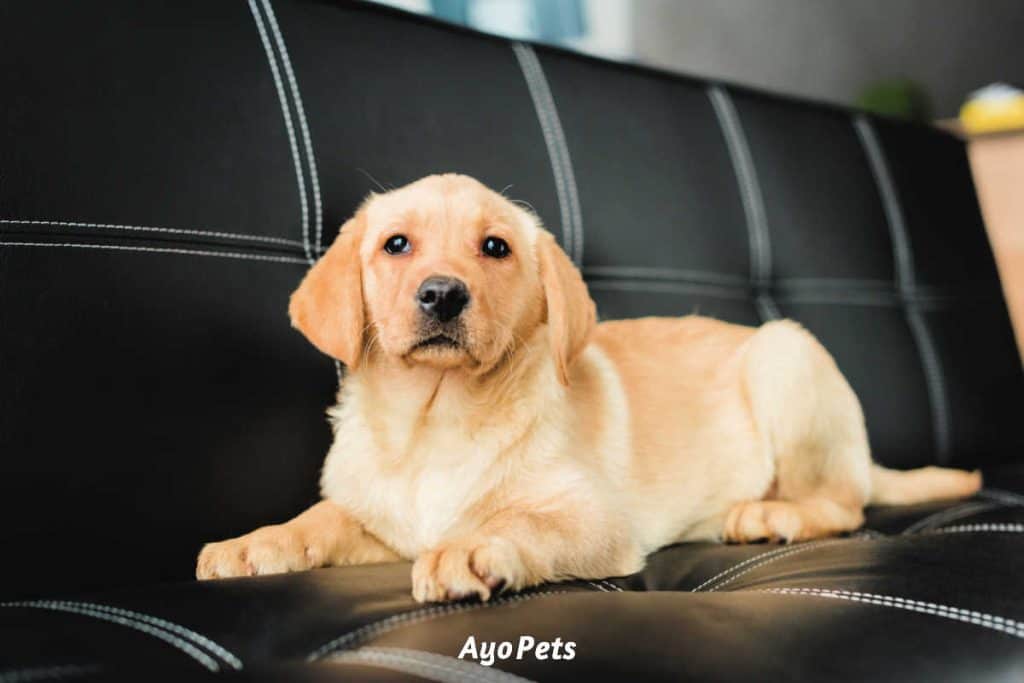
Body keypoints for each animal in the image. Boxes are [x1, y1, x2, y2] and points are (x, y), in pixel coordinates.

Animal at [193, 174, 983, 602]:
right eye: (396, 245)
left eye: (495, 248)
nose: (442, 294)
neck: (435, 419)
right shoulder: (377, 521)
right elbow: (321, 519)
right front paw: (254, 542)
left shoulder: (598, 519)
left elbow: (522, 522)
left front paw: (474, 548)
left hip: (784, 354)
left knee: (844, 502)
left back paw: (771, 513)